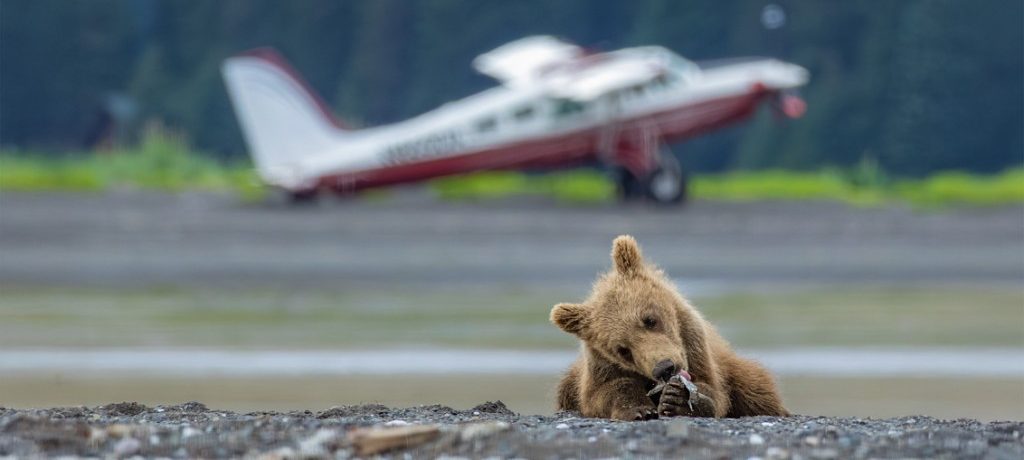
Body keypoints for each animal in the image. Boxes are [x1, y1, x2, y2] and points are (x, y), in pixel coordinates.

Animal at [550, 235, 789, 420]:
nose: (664, 367)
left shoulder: (694, 344)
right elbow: (605, 390)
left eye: (650, 319)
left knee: (756, 388)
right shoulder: (600, 364)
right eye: (622, 350)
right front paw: (640, 409)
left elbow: (711, 387)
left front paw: (678, 400)